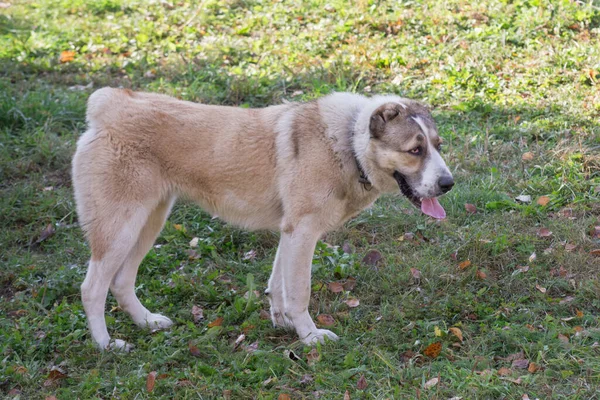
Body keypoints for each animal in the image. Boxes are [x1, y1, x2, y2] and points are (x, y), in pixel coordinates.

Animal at [71, 88, 454, 350]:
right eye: (414, 150)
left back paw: (147, 322)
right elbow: (299, 292)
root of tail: (108, 104)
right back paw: (106, 345)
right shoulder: (303, 232)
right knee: (92, 289)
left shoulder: (291, 231)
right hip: (119, 230)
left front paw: (283, 323)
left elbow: (278, 285)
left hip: (148, 223)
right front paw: (310, 336)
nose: (448, 184)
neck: (347, 142)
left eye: (437, 145)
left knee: (121, 282)